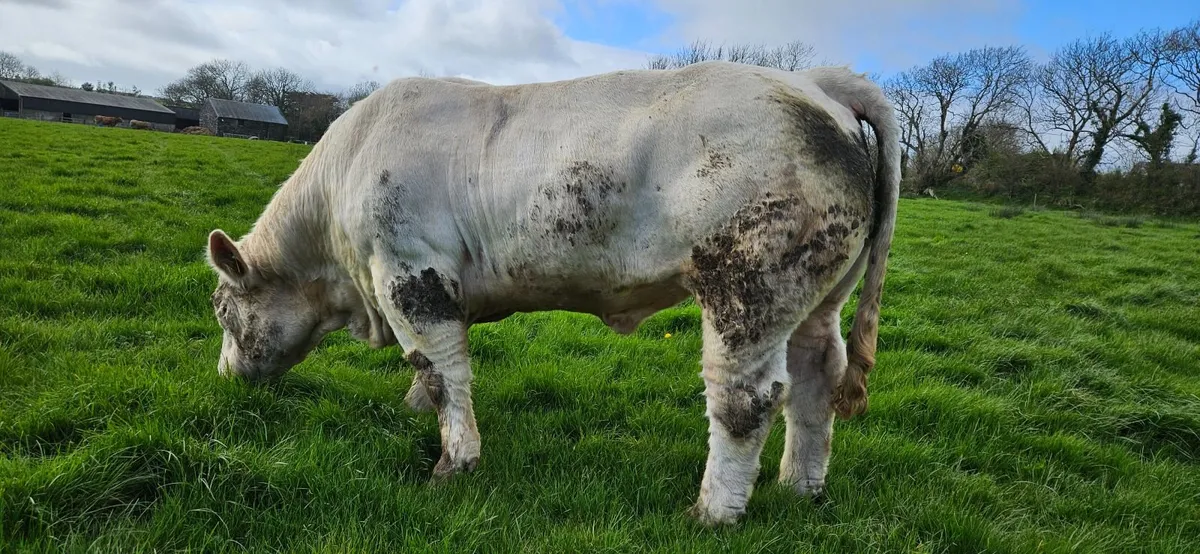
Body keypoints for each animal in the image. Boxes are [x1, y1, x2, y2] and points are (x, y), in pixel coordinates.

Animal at [203, 60, 900, 525]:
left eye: (223, 308)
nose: (224, 377)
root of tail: (814, 83)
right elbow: (429, 372)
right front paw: (415, 409)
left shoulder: (409, 274)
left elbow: (442, 372)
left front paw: (454, 462)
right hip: (818, 299)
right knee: (815, 380)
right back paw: (799, 488)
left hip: (747, 287)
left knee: (746, 399)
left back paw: (712, 512)